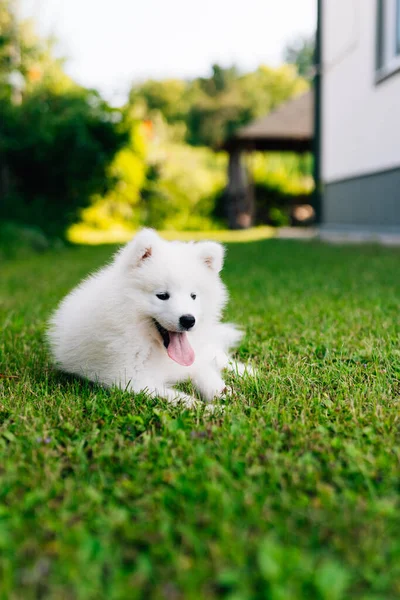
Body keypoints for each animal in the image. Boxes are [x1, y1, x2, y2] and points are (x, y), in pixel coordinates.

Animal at [47, 230, 247, 408]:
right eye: (162, 295)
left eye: (193, 296)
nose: (188, 320)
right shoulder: (130, 380)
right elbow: (182, 399)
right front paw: (213, 410)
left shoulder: (194, 361)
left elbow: (208, 376)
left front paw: (227, 395)